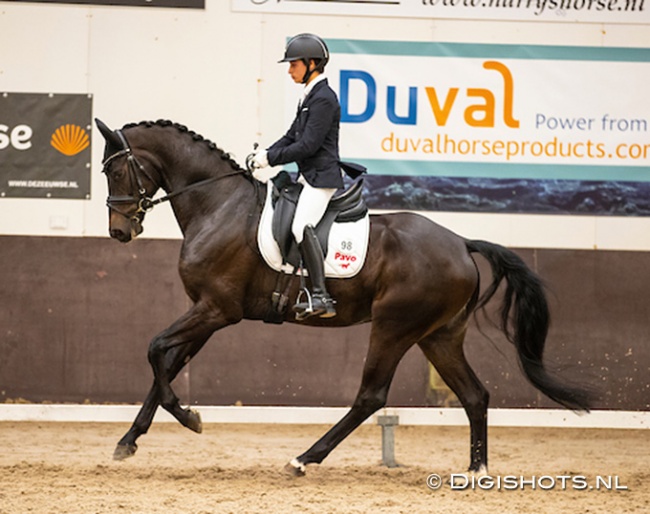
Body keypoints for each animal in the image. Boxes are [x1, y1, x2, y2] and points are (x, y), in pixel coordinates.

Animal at [95, 118, 588, 474]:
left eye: (116, 170)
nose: (119, 232)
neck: (218, 205)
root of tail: (462, 244)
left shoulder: (217, 310)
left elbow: (155, 349)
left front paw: (190, 418)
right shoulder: (207, 311)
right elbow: (167, 365)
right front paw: (129, 441)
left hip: (394, 327)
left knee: (371, 396)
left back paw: (303, 459)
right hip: (439, 335)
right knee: (475, 395)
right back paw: (475, 471)